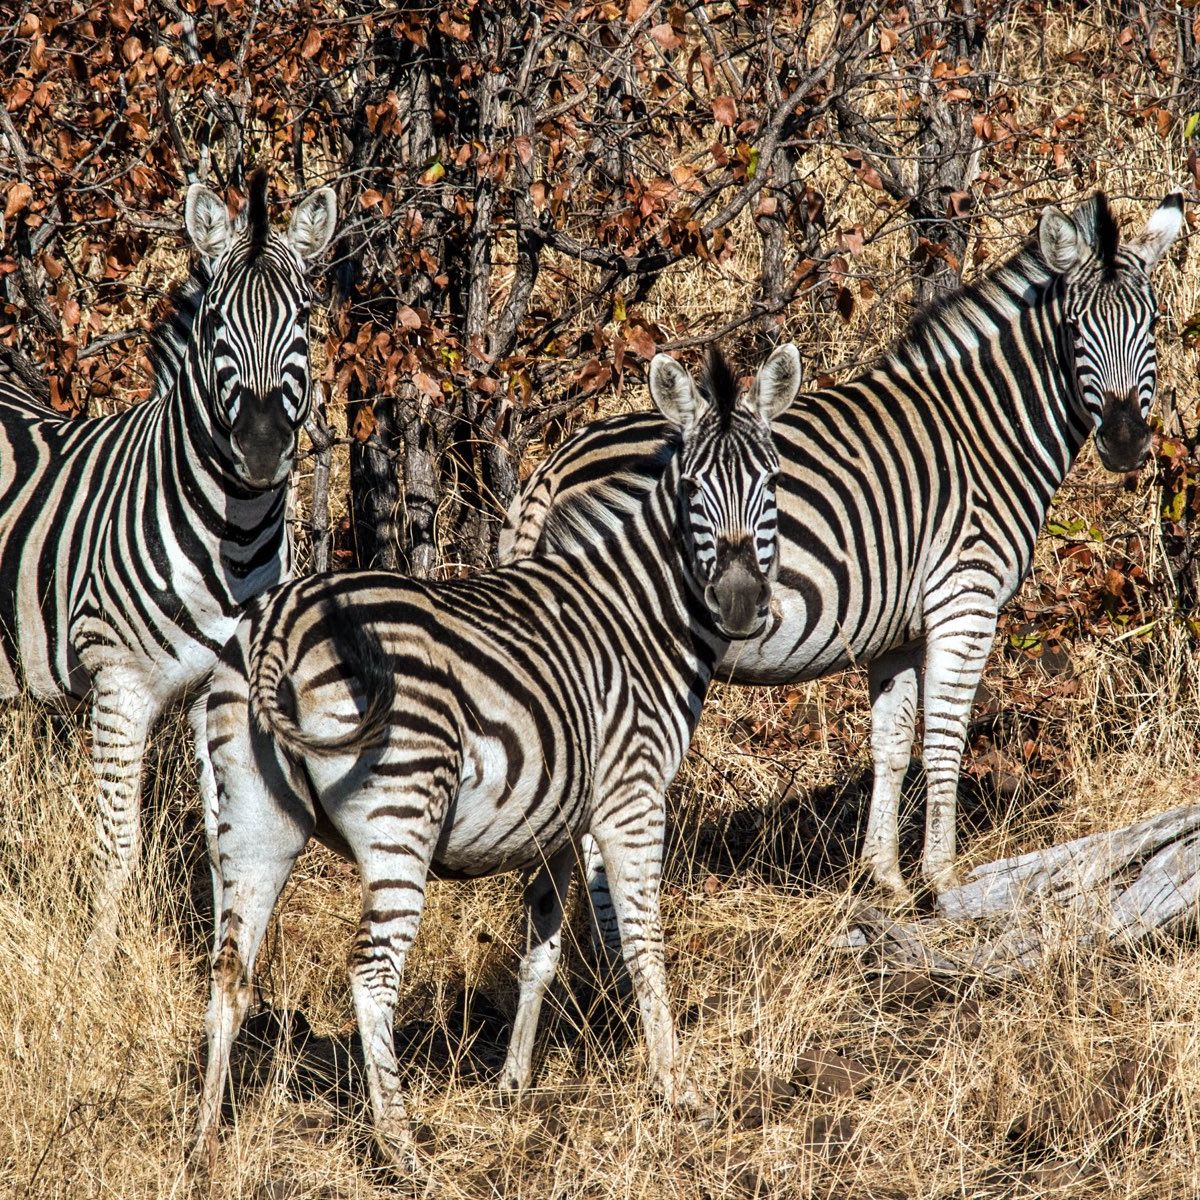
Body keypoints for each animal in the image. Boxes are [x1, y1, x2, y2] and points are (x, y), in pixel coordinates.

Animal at [0, 170, 336, 936]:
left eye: (304, 317)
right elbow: (117, 847)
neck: (233, 540)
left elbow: (230, 841)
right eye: (216, 325)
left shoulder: (222, 689)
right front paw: (99, 958)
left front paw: (228, 957)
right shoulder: (118, 683)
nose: (263, 449)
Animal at [189, 345, 802, 1171]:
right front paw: (676, 1090)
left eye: (770, 482)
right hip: (401, 812)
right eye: (693, 490)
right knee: (370, 971)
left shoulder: (557, 822)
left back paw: (205, 1141)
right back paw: (401, 1146)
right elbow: (643, 941)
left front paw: (513, 1084)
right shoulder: (632, 797)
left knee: (230, 969)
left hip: (256, 817)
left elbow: (540, 949)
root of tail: (282, 618)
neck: (641, 616)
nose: (739, 605)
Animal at [500, 191, 1184, 907]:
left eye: (1154, 323)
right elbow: (945, 737)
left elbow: (891, 743)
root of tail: (555, 465)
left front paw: (884, 877)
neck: (982, 431)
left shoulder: (897, 631)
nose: (1127, 442)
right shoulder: (964, 599)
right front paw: (944, 879)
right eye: (1077, 328)